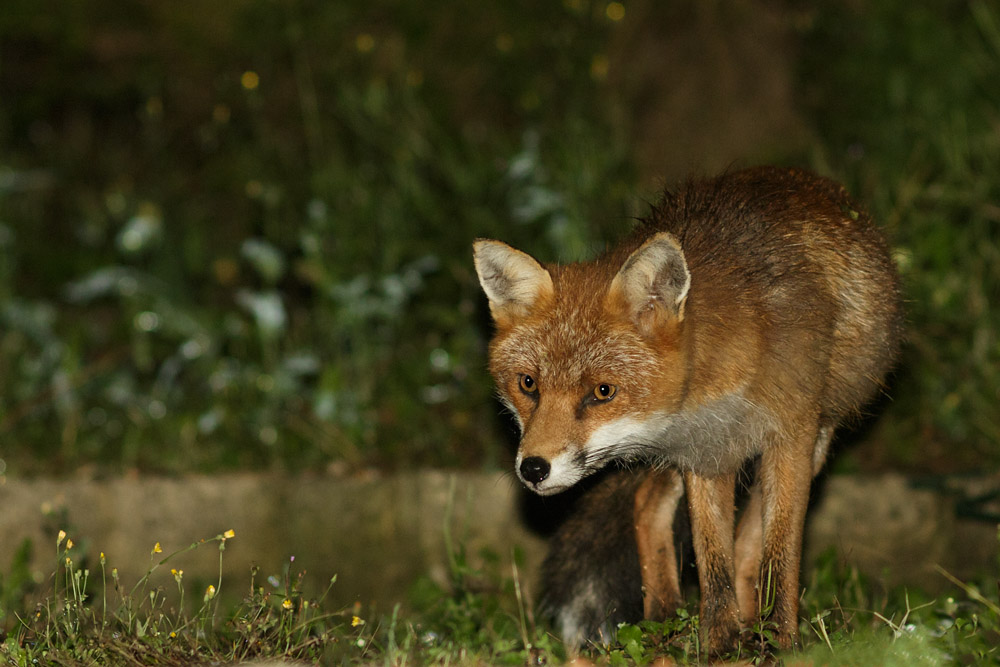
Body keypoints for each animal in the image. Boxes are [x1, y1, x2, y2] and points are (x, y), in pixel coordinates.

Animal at [473, 166, 902, 655]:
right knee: (650, 503)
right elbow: (713, 562)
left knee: (748, 530)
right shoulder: (703, 451)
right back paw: (665, 621)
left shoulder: (789, 435)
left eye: (602, 391)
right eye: (528, 384)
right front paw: (720, 646)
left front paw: (778, 642)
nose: (533, 469)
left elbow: (779, 554)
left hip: (814, 442)